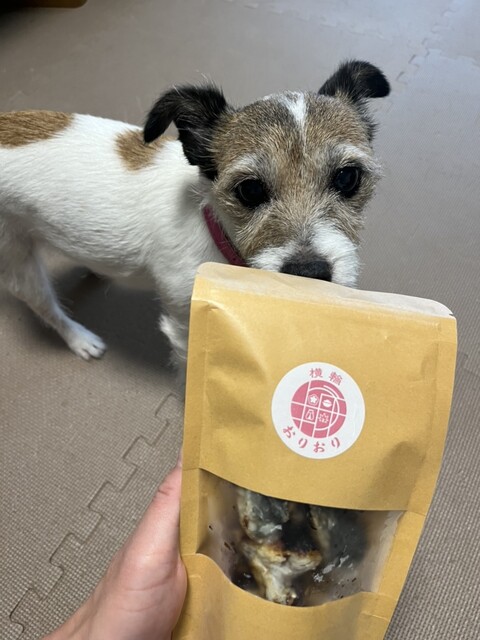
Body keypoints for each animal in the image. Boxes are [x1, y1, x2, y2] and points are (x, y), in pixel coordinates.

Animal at [0, 60, 389, 372]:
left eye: (347, 177)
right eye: (249, 190)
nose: (309, 274)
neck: (214, 230)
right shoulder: (184, 323)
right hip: (19, 266)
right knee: (46, 309)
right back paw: (80, 339)